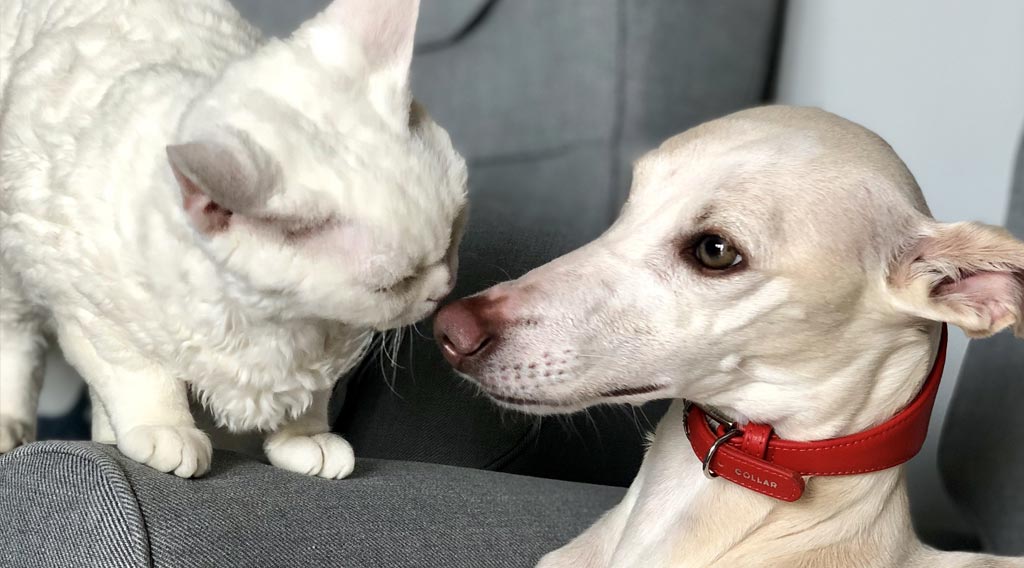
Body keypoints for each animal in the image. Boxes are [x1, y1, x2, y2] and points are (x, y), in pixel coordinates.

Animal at [1, 0, 468, 481]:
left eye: (455, 232)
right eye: (394, 284)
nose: (443, 289)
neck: (278, 323)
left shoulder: (329, 354)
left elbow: (311, 395)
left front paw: (305, 438)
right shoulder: (97, 319)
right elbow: (145, 378)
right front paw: (165, 430)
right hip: (14, 268)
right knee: (17, 343)